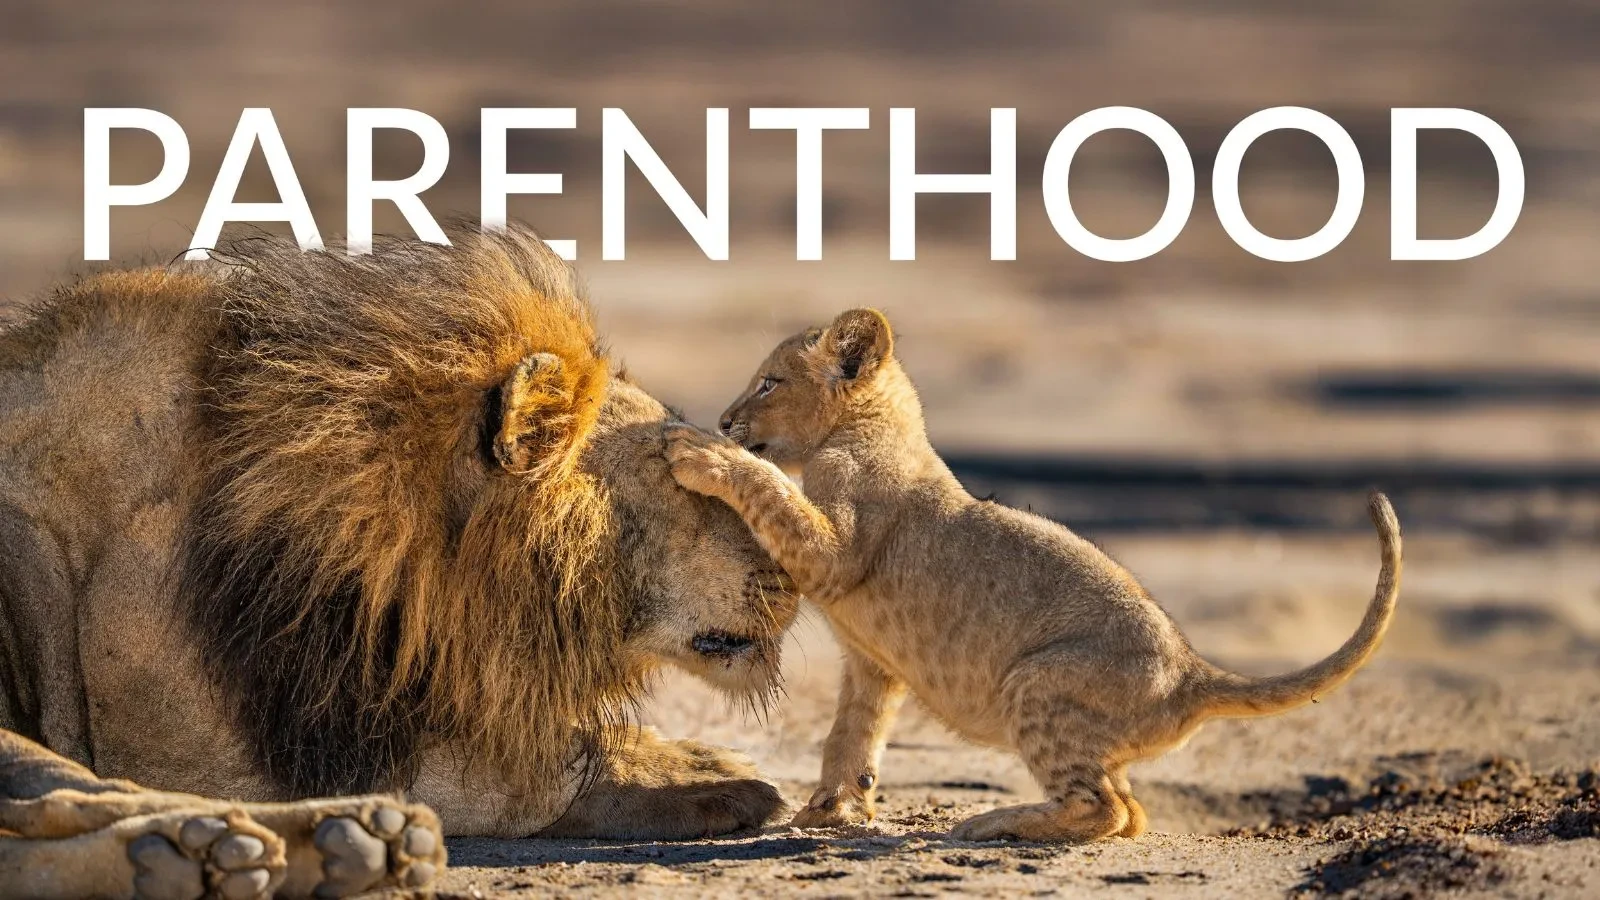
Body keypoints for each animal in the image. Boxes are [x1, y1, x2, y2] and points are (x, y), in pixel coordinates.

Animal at [0, 225, 798, 898]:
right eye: (684, 478)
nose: (795, 576)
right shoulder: (196, 737)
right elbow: (526, 770)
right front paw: (709, 776)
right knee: (78, 796)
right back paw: (243, 846)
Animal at [664, 307, 1403, 843]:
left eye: (769, 382)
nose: (725, 417)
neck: (872, 428)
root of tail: (1193, 674)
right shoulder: (875, 665)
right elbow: (852, 731)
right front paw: (830, 808)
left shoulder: (837, 548)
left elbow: (772, 488)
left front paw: (699, 451)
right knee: (1132, 814)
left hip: (1040, 682)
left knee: (1108, 810)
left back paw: (994, 823)